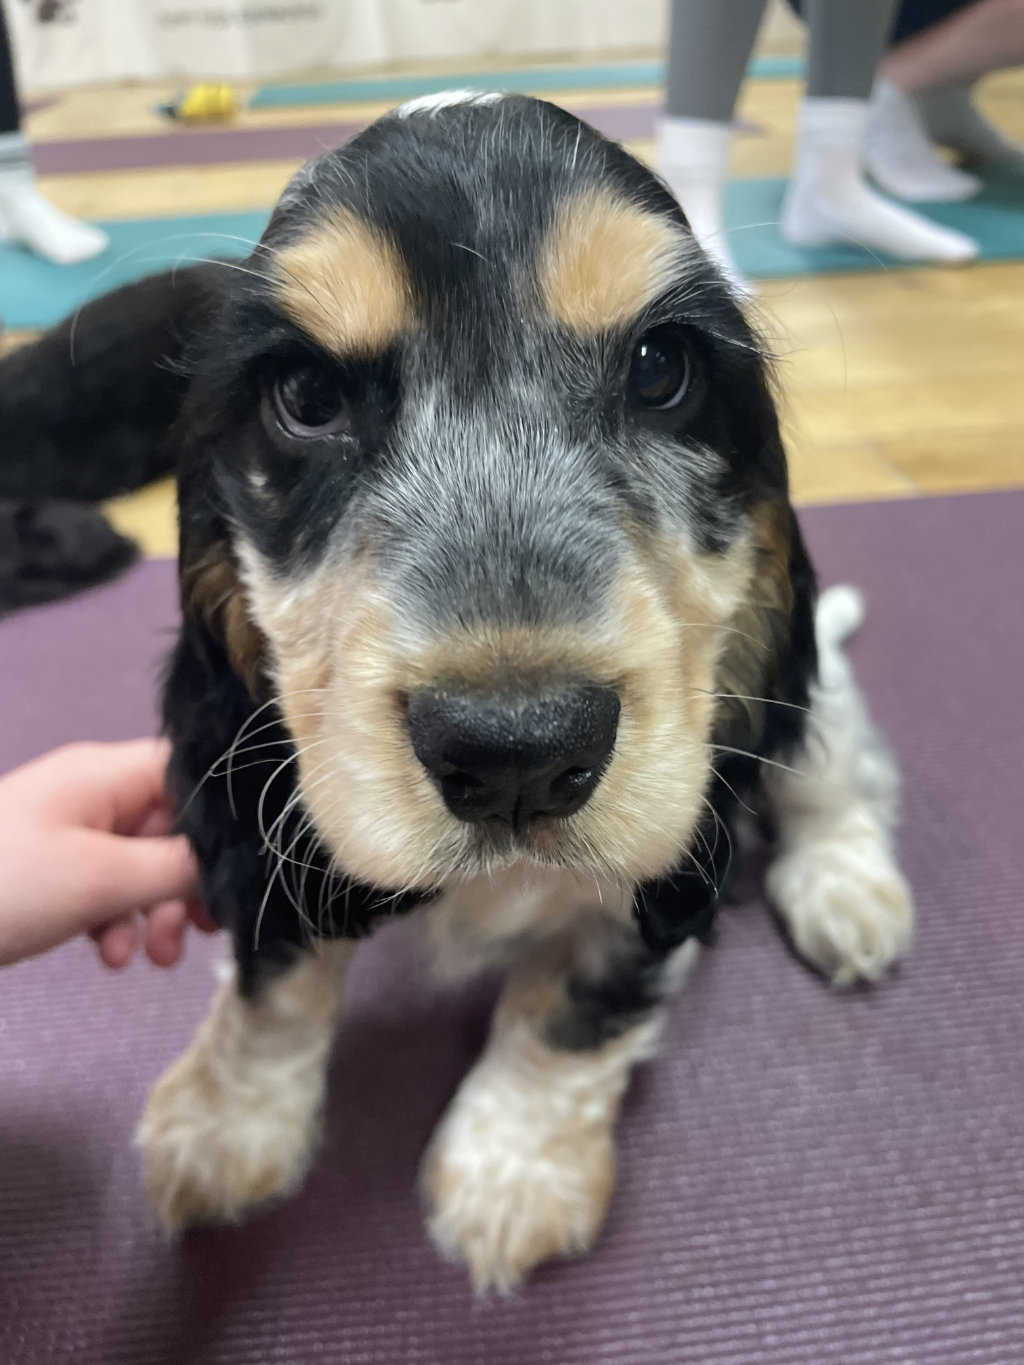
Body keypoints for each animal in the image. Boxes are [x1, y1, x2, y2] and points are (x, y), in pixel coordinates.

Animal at [38, 93, 912, 1288]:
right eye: (305, 394)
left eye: (661, 368)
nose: (519, 753)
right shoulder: (271, 811)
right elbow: (275, 985)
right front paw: (223, 1126)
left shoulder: (672, 841)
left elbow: (573, 1004)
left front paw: (512, 1175)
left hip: (809, 697)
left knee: (839, 775)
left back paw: (846, 892)